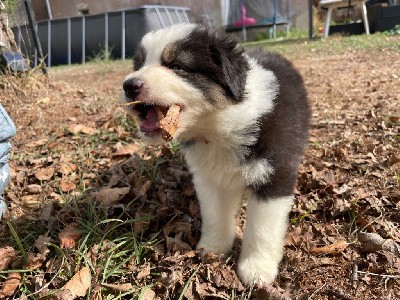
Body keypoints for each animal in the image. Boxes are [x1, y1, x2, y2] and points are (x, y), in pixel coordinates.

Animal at [123, 24, 310, 286]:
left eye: (177, 66)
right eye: (138, 65)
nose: (129, 85)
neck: (217, 126)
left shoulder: (275, 173)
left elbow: (262, 227)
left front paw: (257, 269)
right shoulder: (209, 179)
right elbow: (215, 214)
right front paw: (213, 249)